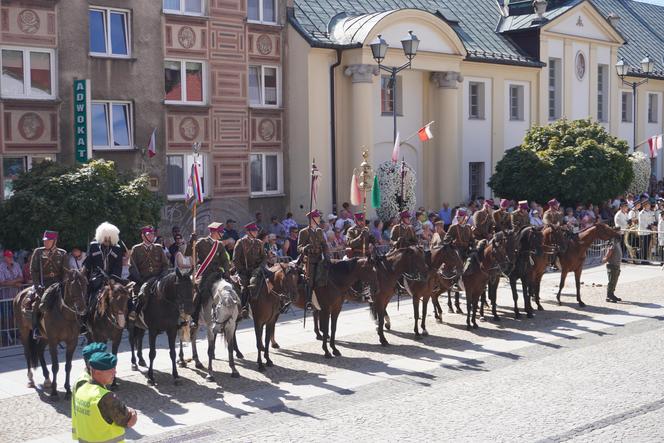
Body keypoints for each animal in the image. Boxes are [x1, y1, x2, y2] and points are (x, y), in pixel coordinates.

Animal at [12, 268, 87, 400]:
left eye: (85, 284)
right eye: (72, 286)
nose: (82, 308)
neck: (65, 315)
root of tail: (20, 294)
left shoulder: (72, 341)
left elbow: (68, 366)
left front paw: (68, 390)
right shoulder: (53, 341)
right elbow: (55, 366)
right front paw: (54, 392)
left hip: (44, 336)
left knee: (39, 350)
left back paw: (47, 380)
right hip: (24, 331)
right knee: (27, 353)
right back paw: (31, 380)